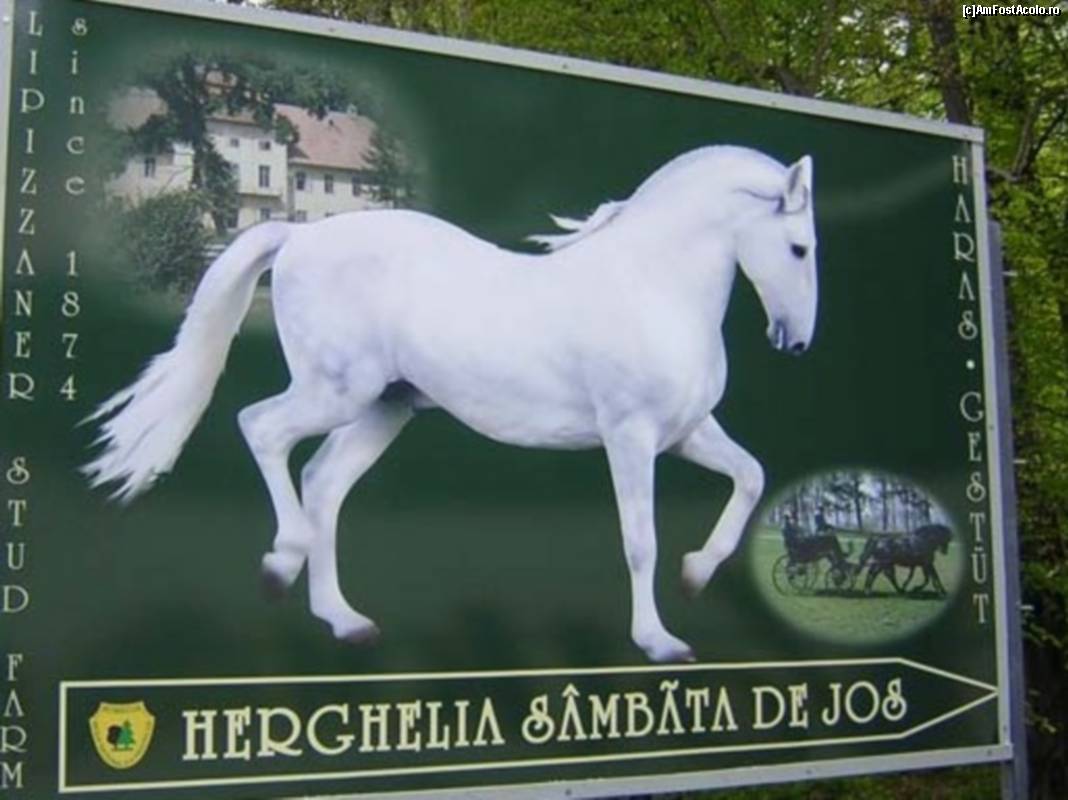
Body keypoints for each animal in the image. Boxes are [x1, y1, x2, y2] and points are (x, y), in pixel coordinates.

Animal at [83, 145, 818, 663]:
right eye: (799, 246)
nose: (797, 341)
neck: (651, 288)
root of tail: (296, 235)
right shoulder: (630, 436)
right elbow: (640, 540)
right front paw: (660, 641)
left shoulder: (688, 433)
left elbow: (751, 477)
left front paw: (697, 575)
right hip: (335, 390)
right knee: (259, 428)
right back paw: (280, 563)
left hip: (383, 408)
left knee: (322, 483)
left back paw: (344, 621)